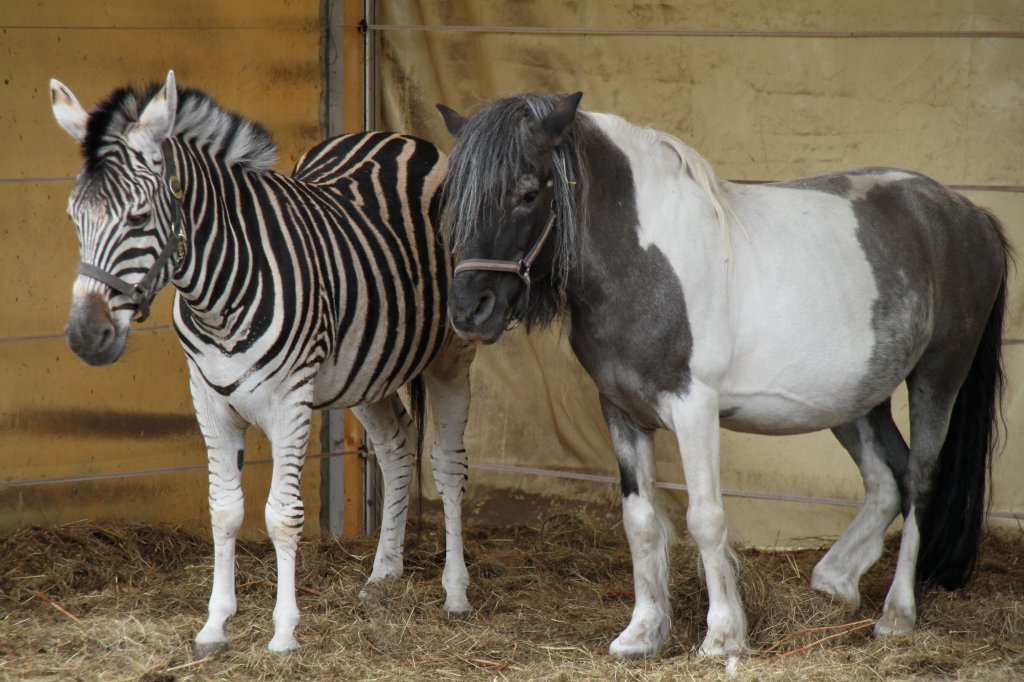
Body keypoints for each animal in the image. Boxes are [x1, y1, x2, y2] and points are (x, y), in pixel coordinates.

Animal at [51, 69, 475, 655]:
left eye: (138, 216)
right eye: (74, 218)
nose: (85, 337)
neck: (216, 298)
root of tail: (395, 136)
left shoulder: (289, 400)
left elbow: (282, 515)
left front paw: (284, 632)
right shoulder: (207, 398)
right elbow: (225, 510)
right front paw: (214, 625)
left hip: (451, 353)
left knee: (447, 463)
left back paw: (456, 593)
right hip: (367, 369)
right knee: (395, 449)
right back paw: (383, 573)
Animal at [434, 93, 1007, 655]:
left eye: (528, 193)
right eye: (451, 200)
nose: (468, 311)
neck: (643, 259)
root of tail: (971, 215)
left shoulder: (695, 407)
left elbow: (705, 518)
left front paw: (723, 636)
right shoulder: (619, 409)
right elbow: (640, 521)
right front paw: (642, 633)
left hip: (938, 376)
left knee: (920, 482)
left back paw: (896, 614)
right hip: (856, 399)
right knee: (887, 479)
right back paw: (834, 583)